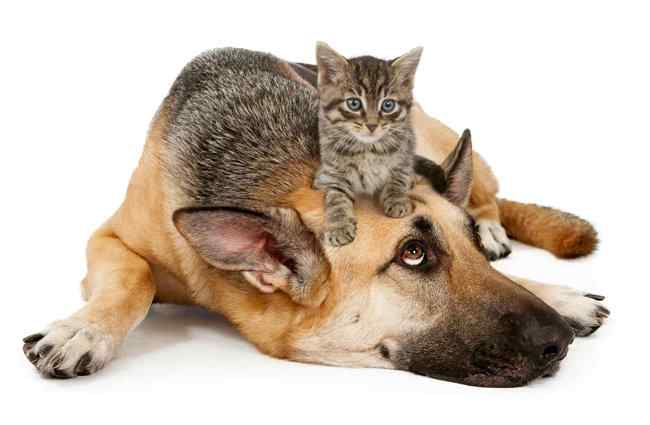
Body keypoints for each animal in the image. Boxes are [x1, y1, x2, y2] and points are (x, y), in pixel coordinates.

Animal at [314, 42, 426, 245]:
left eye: (388, 105)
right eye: (354, 103)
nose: (372, 125)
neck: (368, 148)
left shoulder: (405, 151)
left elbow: (398, 176)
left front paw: (397, 198)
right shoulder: (332, 173)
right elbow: (336, 197)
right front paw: (339, 225)